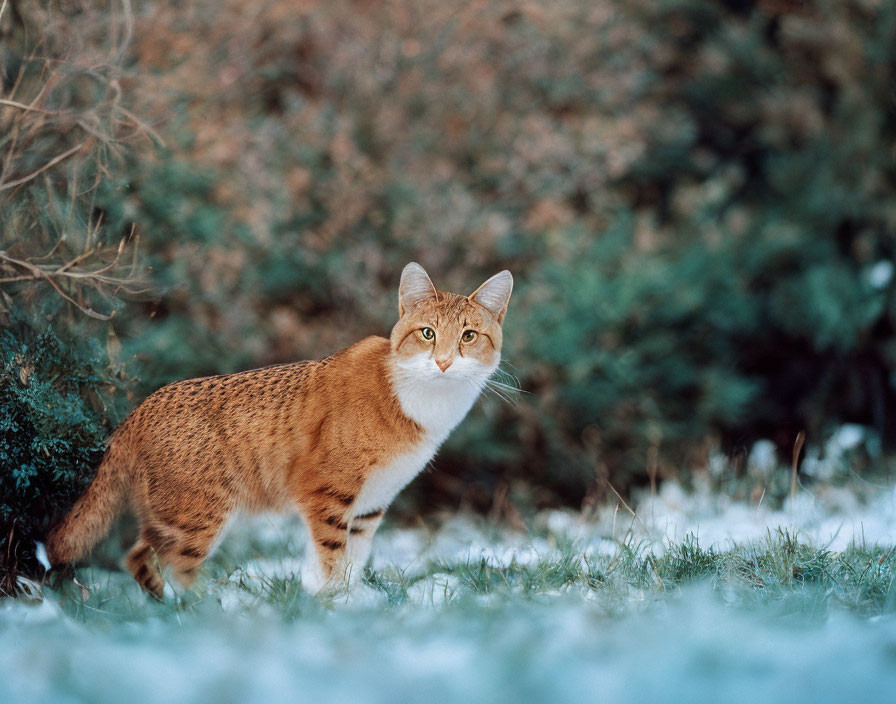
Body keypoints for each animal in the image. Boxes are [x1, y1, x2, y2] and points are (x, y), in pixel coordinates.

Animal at [47, 262, 512, 596]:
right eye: (428, 334)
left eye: (469, 336)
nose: (445, 362)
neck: (416, 400)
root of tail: (142, 407)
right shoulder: (326, 493)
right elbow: (330, 558)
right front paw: (331, 606)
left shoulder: (370, 505)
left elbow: (352, 562)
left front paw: (350, 606)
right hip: (199, 515)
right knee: (176, 566)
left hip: (172, 515)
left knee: (139, 557)